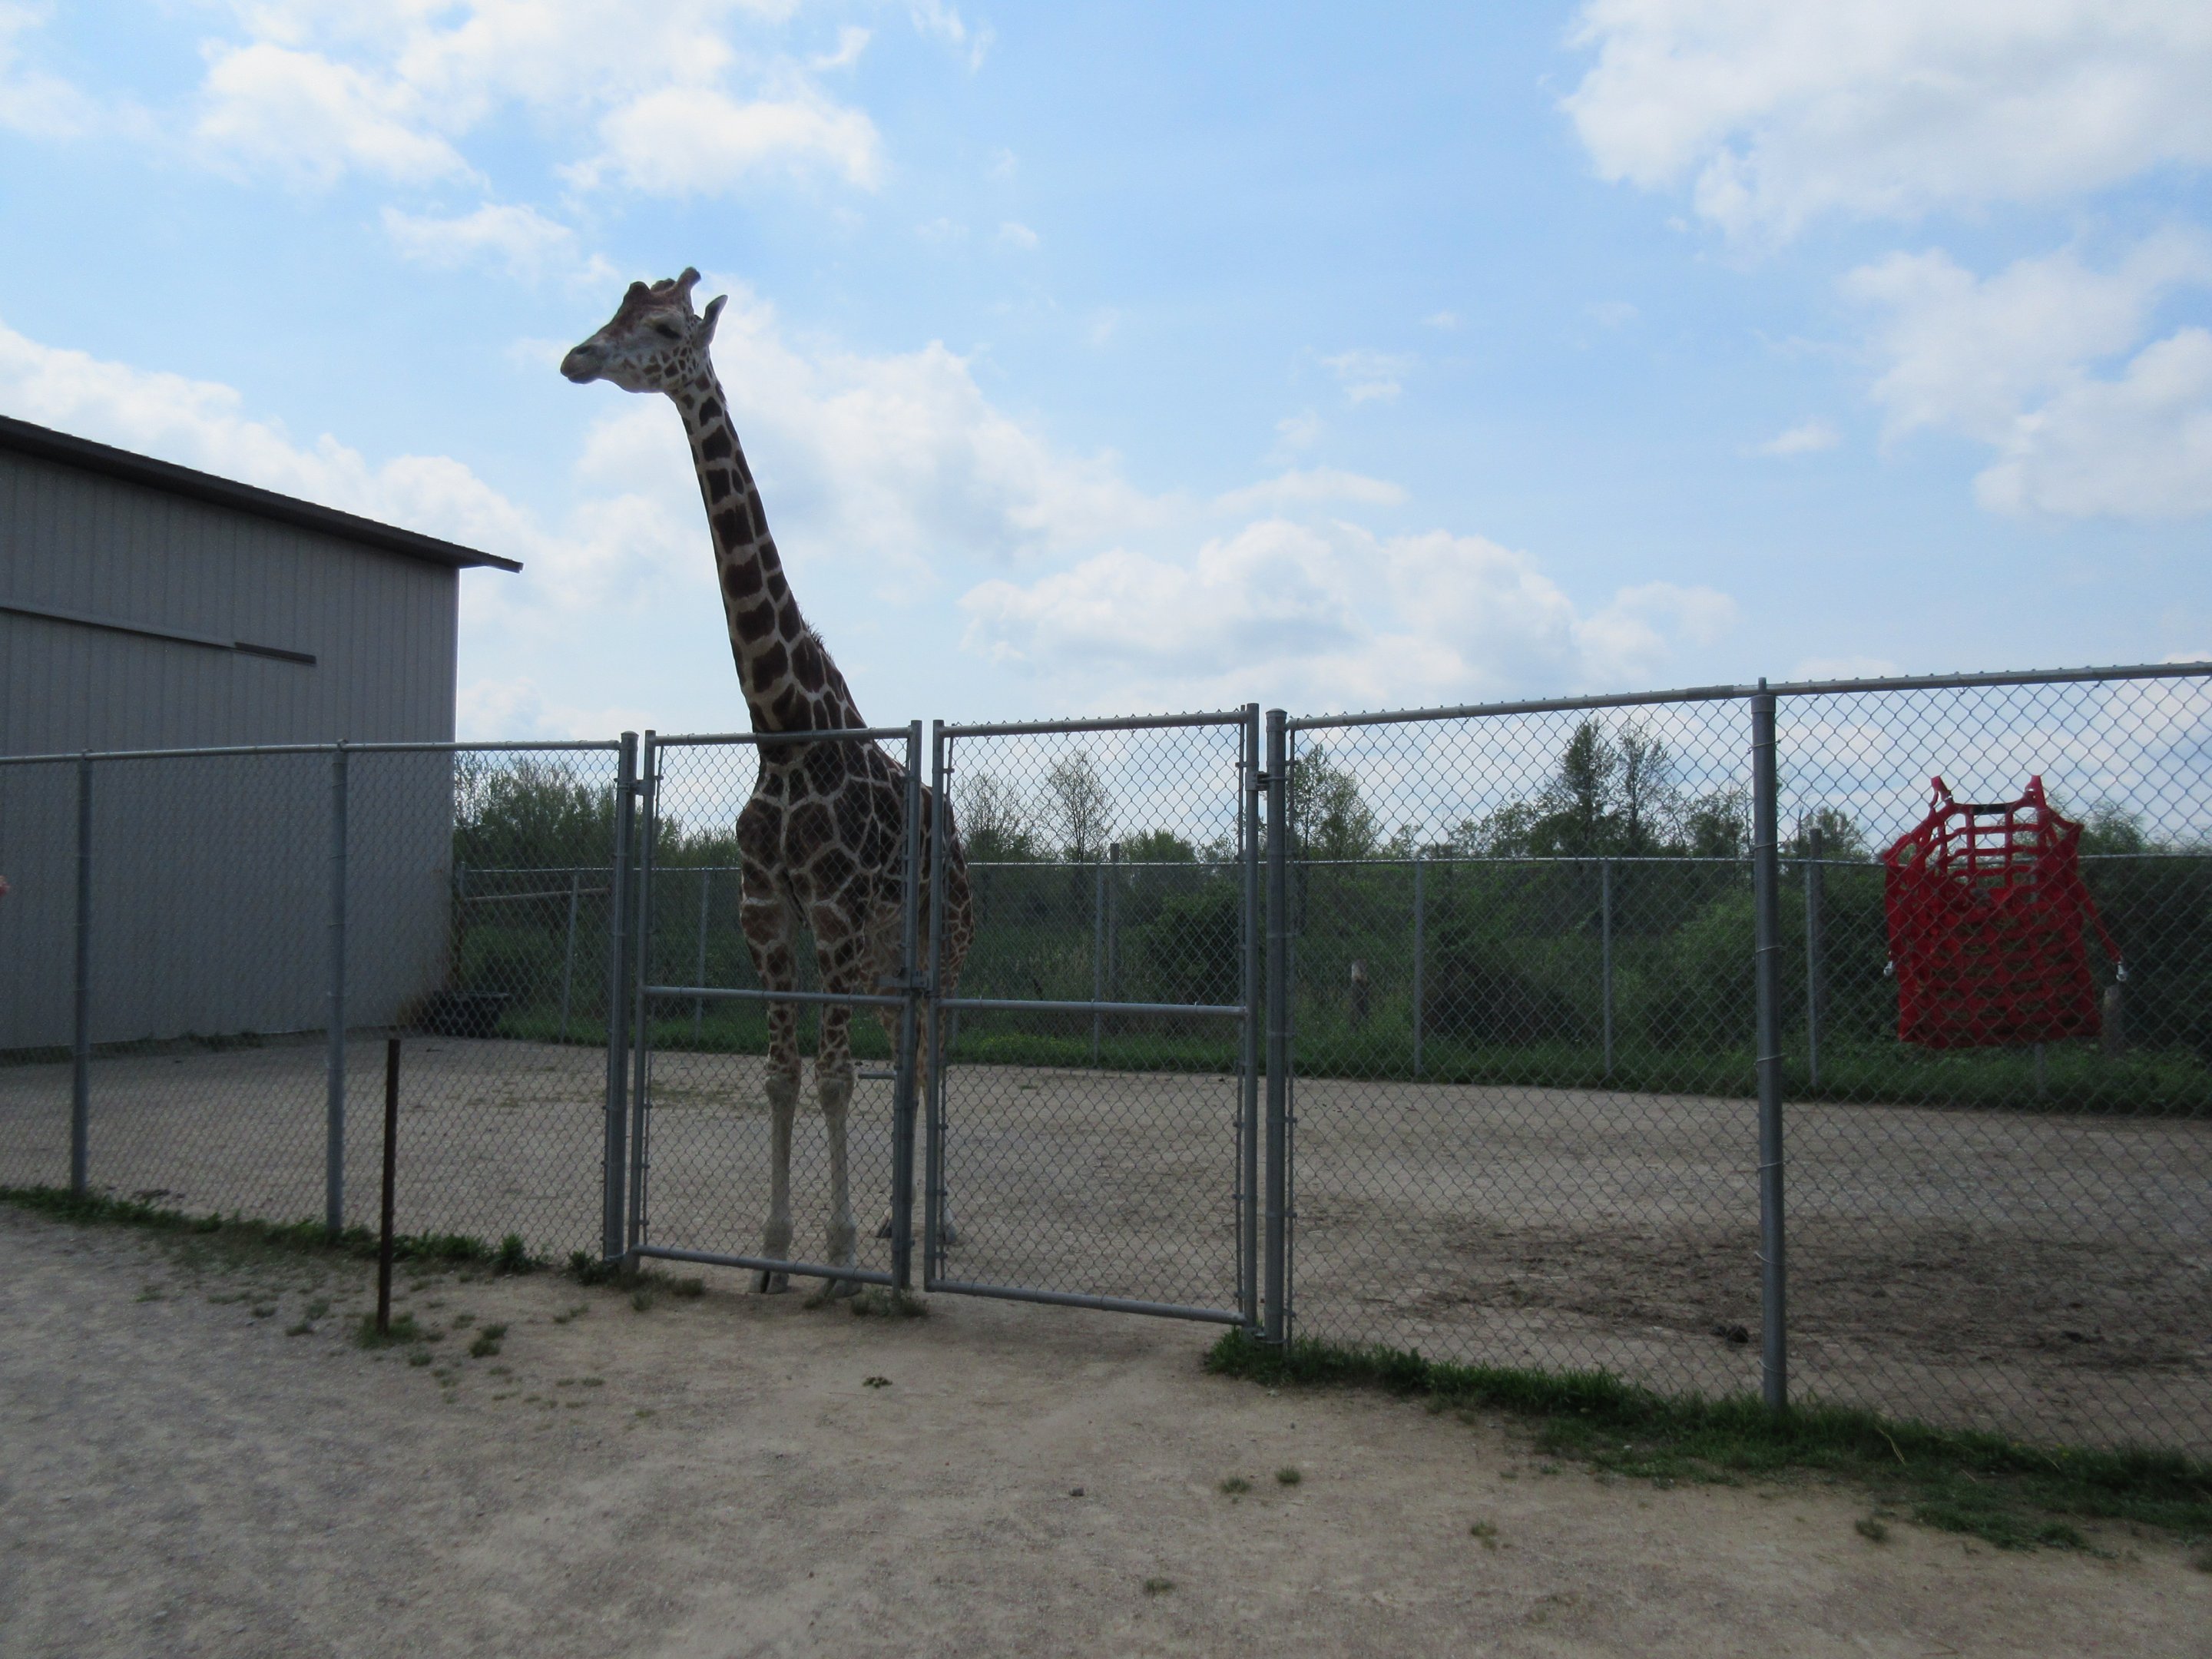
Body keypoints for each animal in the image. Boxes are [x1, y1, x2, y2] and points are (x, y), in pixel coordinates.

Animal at [562, 269, 974, 1295]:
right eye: (614, 311)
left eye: (668, 330)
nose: (578, 358)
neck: (782, 728)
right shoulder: (765, 908)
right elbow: (786, 1075)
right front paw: (779, 1254)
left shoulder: (831, 909)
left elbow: (832, 1078)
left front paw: (838, 1262)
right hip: (887, 960)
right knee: (905, 1056)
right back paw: (897, 1222)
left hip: (940, 940)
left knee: (935, 1057)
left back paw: (936, 1231)